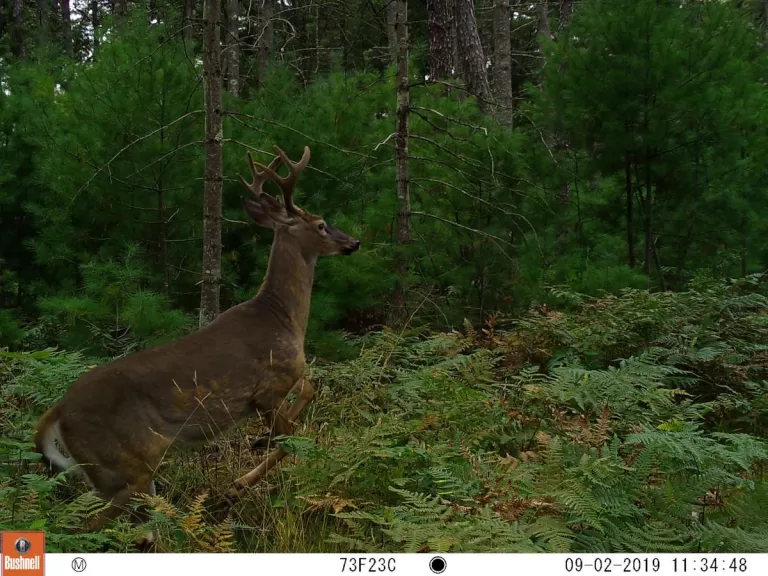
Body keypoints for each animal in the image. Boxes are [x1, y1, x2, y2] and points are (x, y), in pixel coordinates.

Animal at [32, 144, 360, 544]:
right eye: (321, 224)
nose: (354, 242)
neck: (283, 317)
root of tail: (58, 411)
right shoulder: (267, 388)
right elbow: (290, 436)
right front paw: (237, 484)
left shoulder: (280, 384)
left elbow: (309, 391)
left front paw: (256, 445)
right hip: (125, 465)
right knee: (87, 527)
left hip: (111, 475)